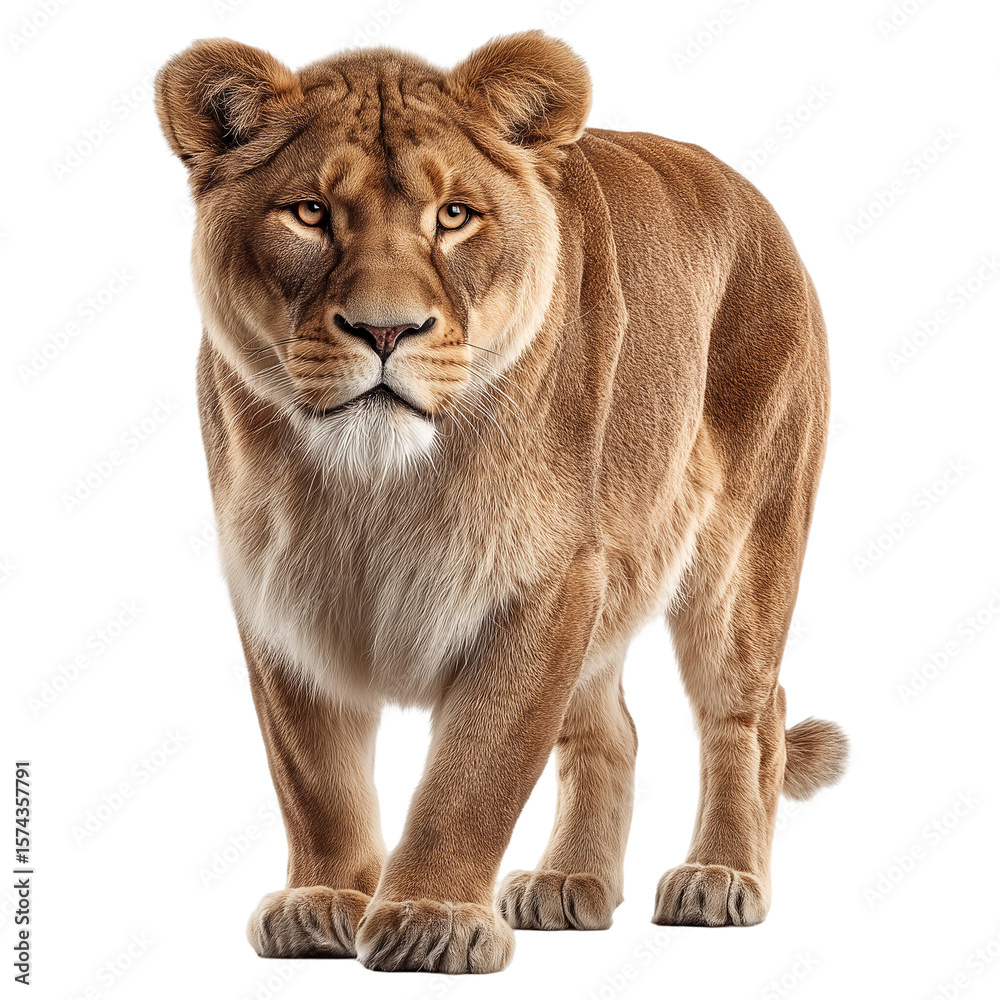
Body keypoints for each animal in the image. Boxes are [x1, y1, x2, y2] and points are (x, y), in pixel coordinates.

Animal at [155, 30, 847, 974]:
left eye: (454, 217)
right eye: (308, 213)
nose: (385, 330)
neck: (374, 485)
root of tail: (756, 200)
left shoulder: (547, 580)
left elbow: (477, 766)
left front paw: (430, 918)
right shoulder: (275, 588)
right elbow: (312, 773)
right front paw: (324, 899)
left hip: (741, 551)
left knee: (749, 712)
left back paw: (718, 877)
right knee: (612, 730)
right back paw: (567, 885)